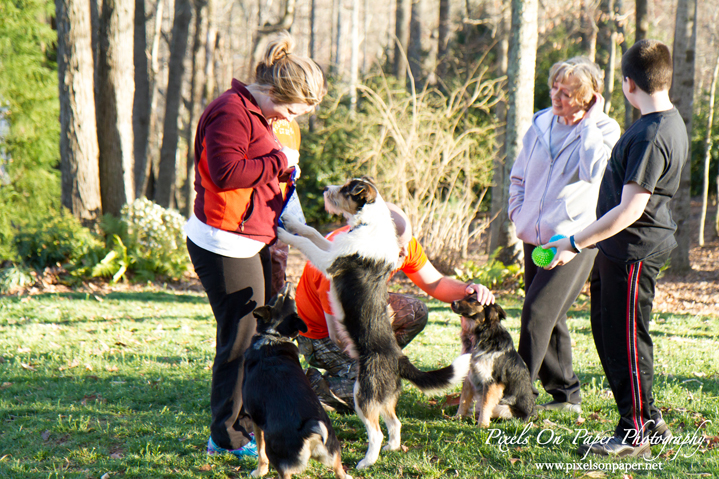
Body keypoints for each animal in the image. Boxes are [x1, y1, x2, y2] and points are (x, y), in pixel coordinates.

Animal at [243, 284, 352, 479]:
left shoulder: (256, 421)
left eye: (282, 296)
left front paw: (259, 471)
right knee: (339, 470)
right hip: (334, 454)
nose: (289, 284)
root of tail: (310, 432)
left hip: (279, 457)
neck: (273, 337)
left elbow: (261, 452)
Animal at [278, 178, 472, 470]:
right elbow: (312, 232)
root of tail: (399, 358)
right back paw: (392, 447)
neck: (368, 223)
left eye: (347, 189)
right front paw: (291, 221)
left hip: (364, 394)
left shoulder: (330, 261)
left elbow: (306, 243)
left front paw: (283, 233)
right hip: (384, 395)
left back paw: (366, 462)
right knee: (395, 422)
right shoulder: (333, 247)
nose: (325, 188)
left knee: (377, 432)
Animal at [450, 298, 536, 430]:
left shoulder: (492, 381)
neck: (482, 334)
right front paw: (458, 417)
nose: (452, 302)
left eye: (473, 300)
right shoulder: (469, 377)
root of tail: (534, 415)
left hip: (502, 407)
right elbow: (463, 400)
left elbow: (485, 404)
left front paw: (482, 424)